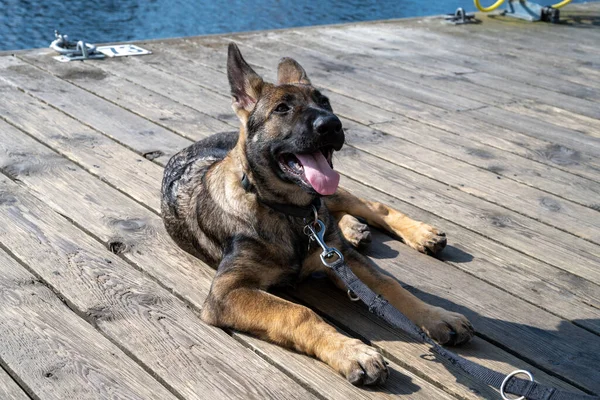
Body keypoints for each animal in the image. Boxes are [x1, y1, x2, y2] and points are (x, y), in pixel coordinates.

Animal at [163, 43, 474, 384]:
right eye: (282, 109)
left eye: (324, 101)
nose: (332, 124)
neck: (292, 215)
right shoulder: (227, 292)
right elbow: (298, 312)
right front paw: (352, 352)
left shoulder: (346, 261)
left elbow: (391, 286)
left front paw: (437, 315)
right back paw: (354, 229)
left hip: (336, 196)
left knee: (368, 206)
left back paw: (417, 233)